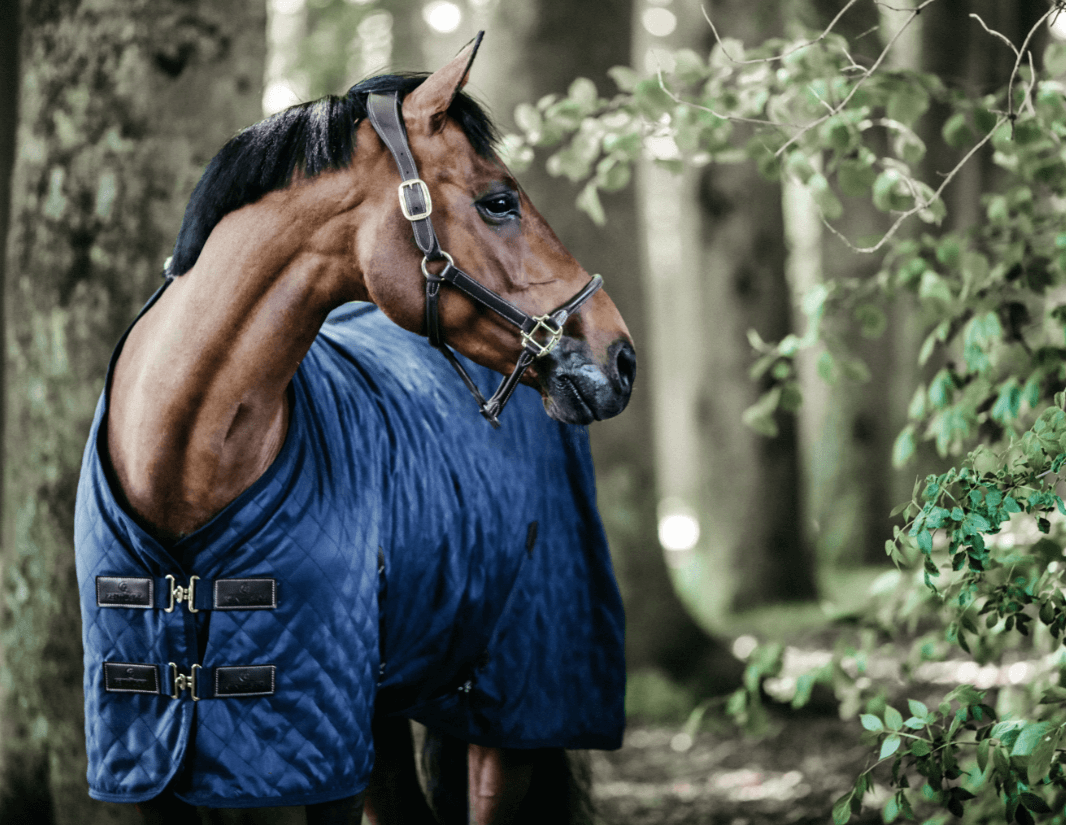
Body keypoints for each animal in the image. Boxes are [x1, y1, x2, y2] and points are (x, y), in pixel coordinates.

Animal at [73, 33, 634, 825]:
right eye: (498, 202)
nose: (621, 356)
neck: (178, 461)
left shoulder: (323, 760)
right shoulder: (151, 761)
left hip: (513, 709)